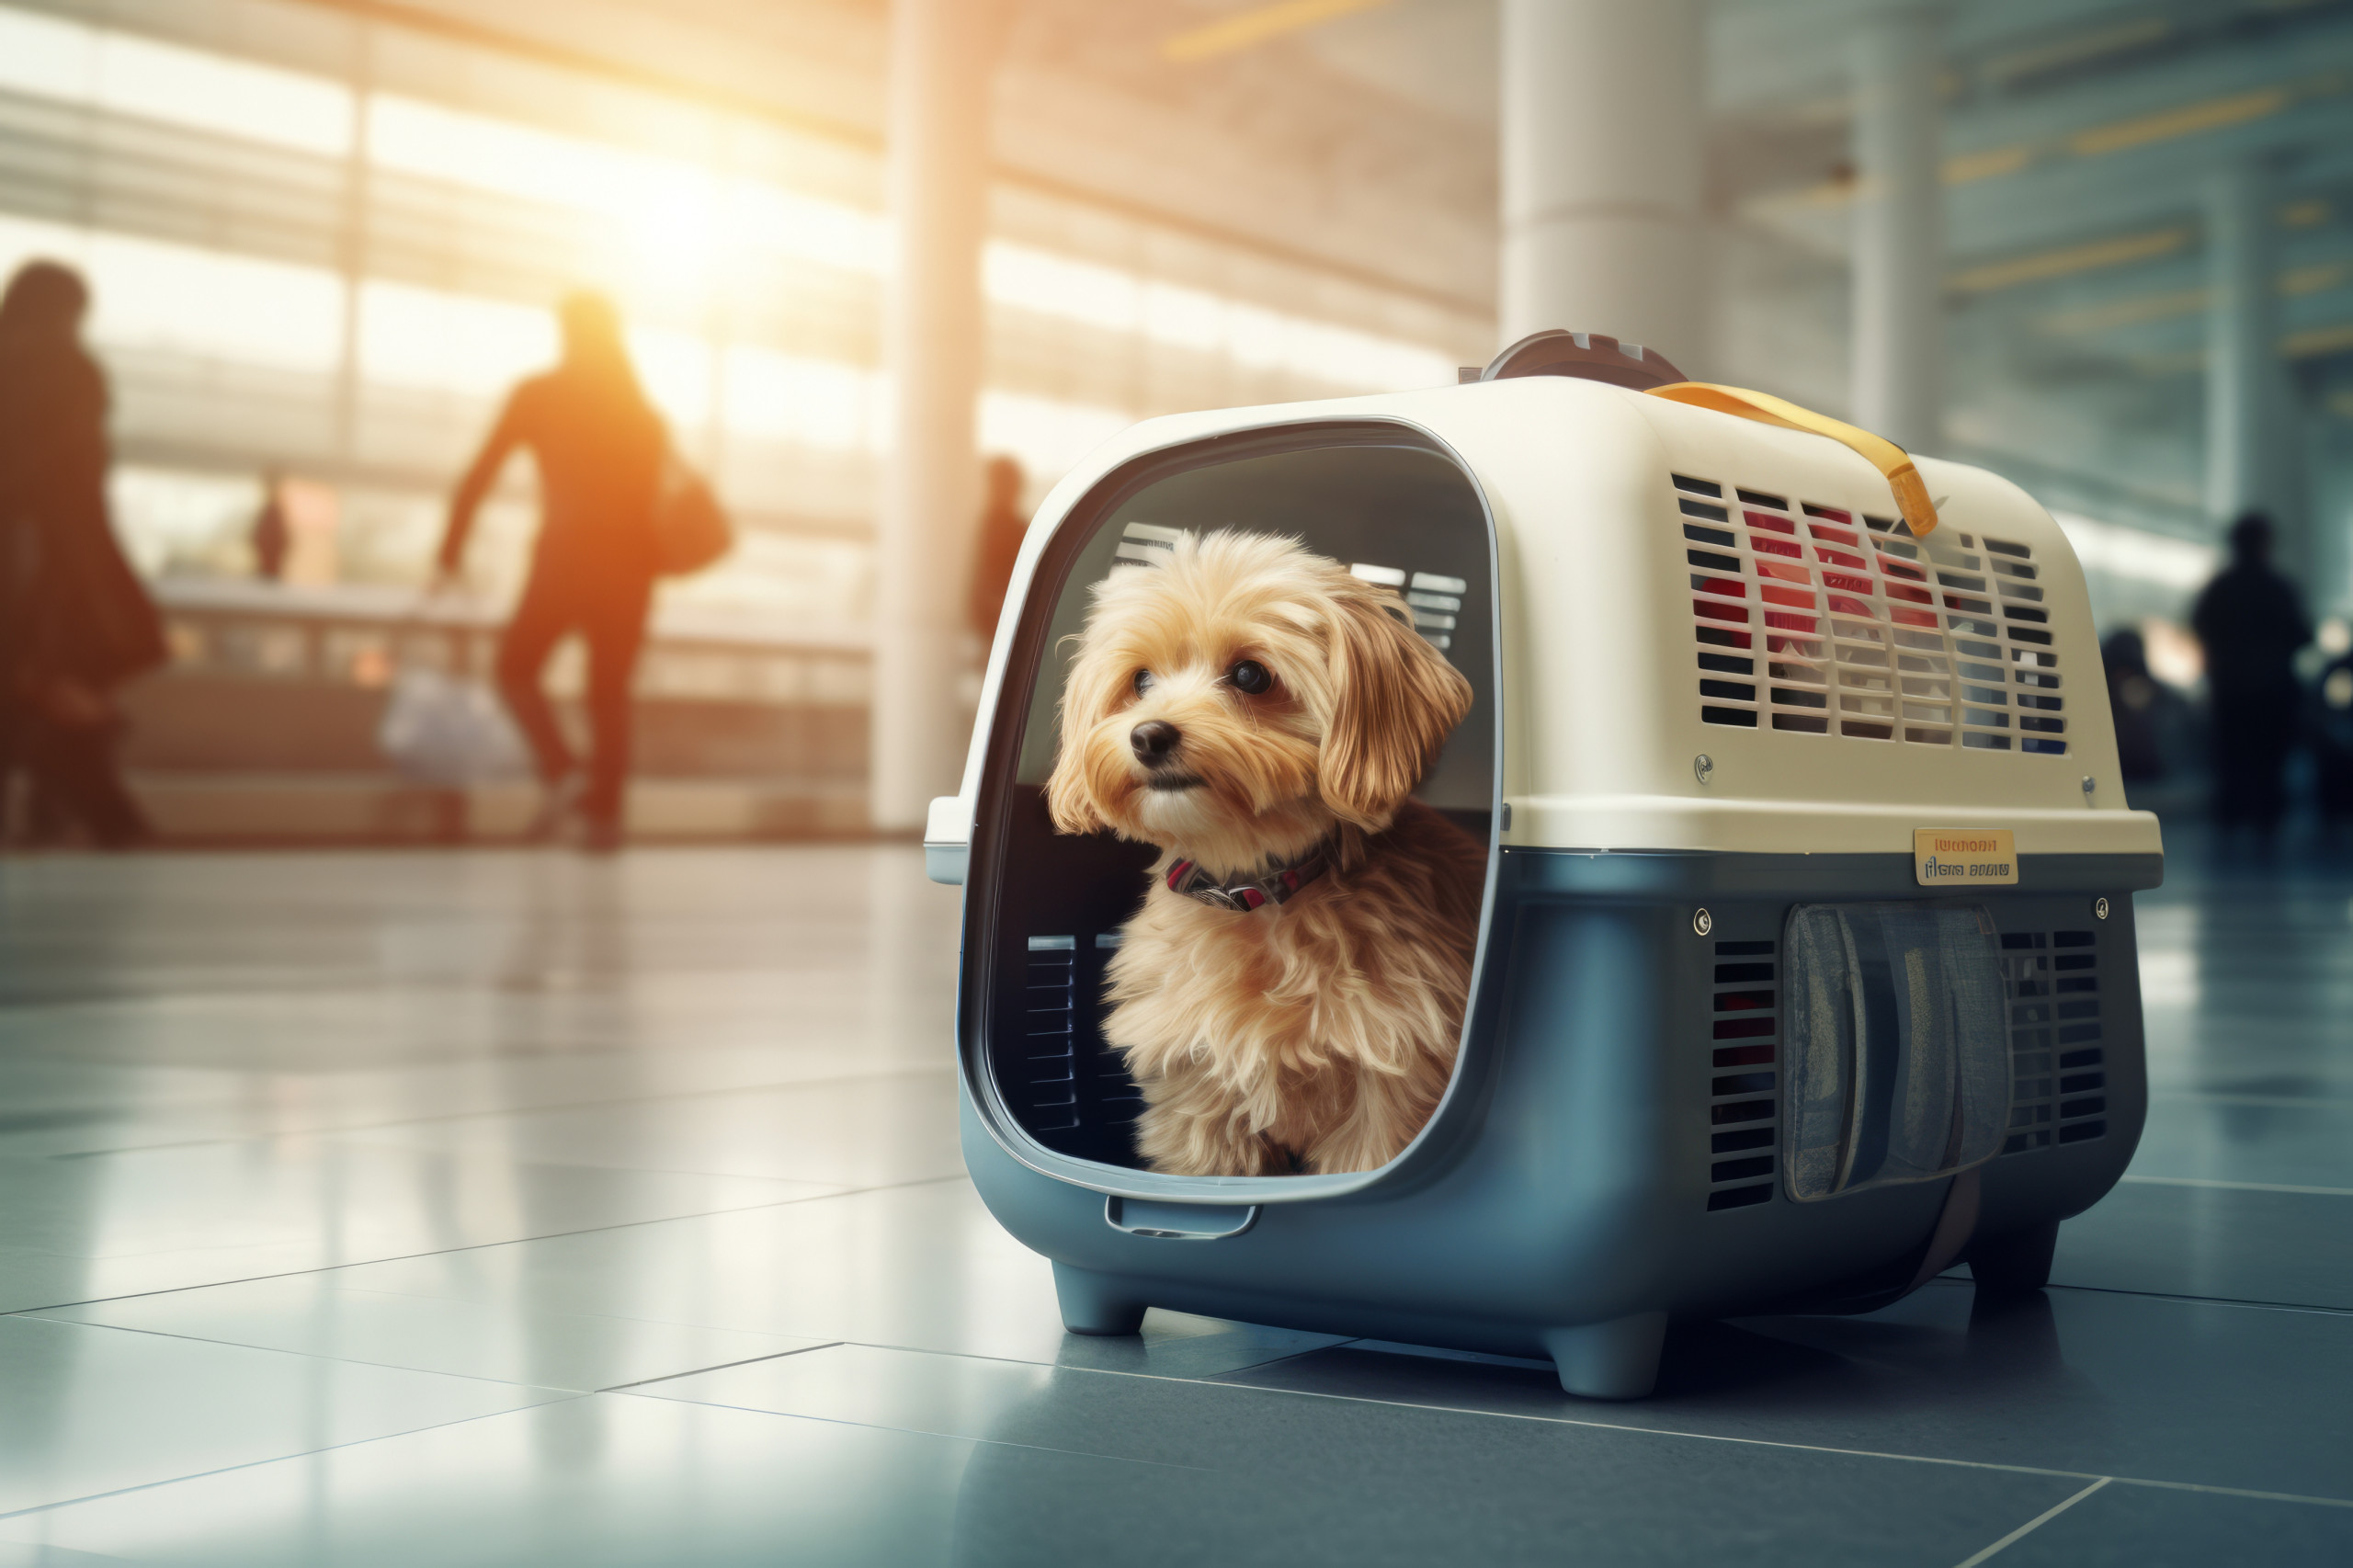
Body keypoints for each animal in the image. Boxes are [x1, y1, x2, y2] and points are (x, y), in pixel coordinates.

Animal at [1053, 527, 1486, 1172]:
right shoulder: (1198, 1098)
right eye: (1141, 682)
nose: (1147, 735)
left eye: (1250, 675)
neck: (1252, 887)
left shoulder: (1386, 1106)